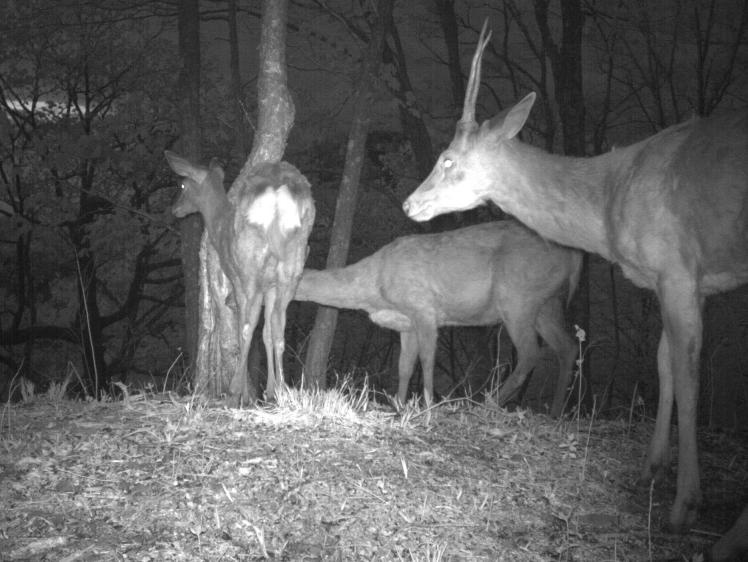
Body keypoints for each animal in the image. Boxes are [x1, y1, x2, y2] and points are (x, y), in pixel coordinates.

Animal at [165, 151, 314, 400]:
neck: (220, 226)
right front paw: (271, 388)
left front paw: (244, 389)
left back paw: (235, 390)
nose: (175, 209)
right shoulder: (270, 285)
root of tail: (278, 189)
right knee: (279, 325)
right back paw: (282, 388)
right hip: (293, 264)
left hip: (249, 263)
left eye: (183, 184)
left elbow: (247, 327)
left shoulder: (237, 278)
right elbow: (267, 332)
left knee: (246, 326)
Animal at [292, 219, 580, 412]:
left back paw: (487, 404)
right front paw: (399, 404)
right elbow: (405, 366)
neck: (375, 284)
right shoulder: (406, 324)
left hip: (517, 296)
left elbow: (427, 360)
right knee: (568, 347)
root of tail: (573, 256)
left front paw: (428, 404)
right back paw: (556, 411)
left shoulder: (424, 308)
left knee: (531, 352)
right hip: (547, 304)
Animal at [404, 21, 748, 540]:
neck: (609, 195)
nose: (410, 204)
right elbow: (665, 363)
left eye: (447, 158)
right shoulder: (685, 281)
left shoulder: (676, 266)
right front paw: (650, 468)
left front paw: (684, 504)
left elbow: (687, 373)